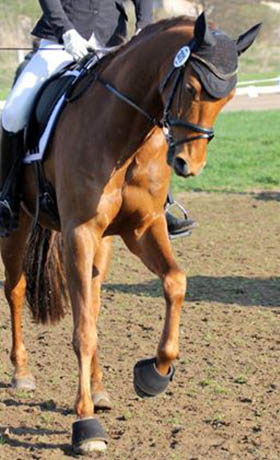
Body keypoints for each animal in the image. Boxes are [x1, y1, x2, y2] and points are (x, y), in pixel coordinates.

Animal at [0, 12, 260, 454]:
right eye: (191, 87)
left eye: (226, 99)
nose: (188, 164)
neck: (127, 133)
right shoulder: (80, 232)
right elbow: (82, 330)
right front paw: (85, 425)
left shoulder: (142, 229)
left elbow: (175, 282)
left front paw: (154, 373)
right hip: (16, 226)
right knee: (16, 291)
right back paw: (22, 373)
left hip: (101, 244)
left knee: (92, 299)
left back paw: (100, 389)